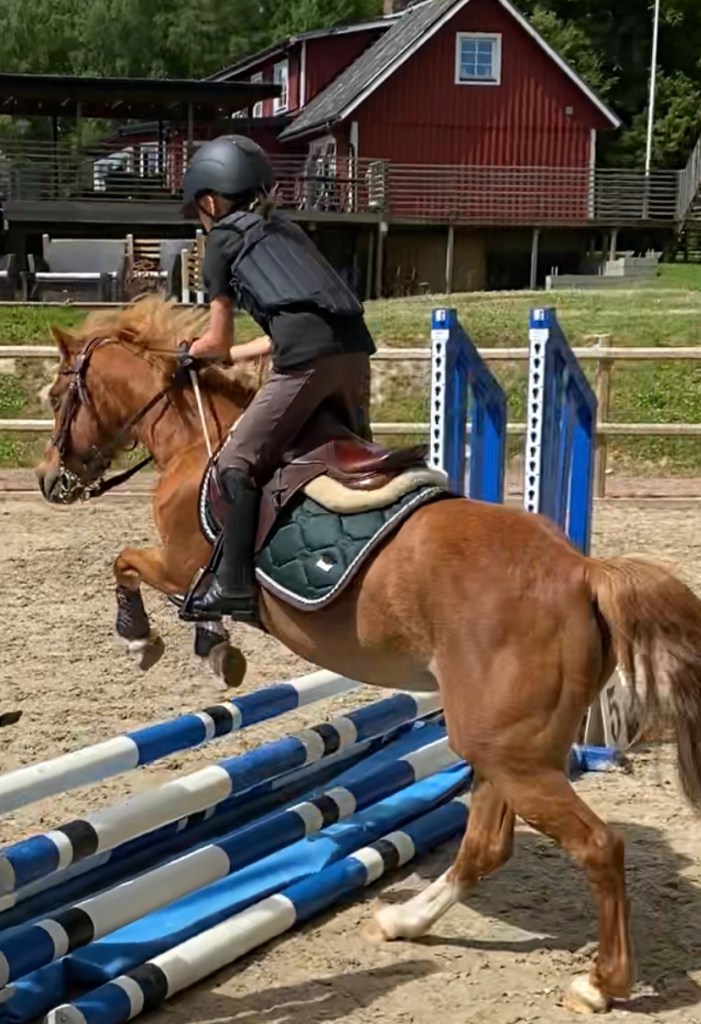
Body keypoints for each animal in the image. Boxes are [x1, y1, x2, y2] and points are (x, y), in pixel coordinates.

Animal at [35, 294, 701, 1014]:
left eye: (56, 396)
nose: (47, 480)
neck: (193, 437)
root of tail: (582, 572)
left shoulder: (182, 564)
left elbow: (127, 563)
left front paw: (162, 639)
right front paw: (209, 646)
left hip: (510, 754)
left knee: (598, 846)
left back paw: (600, 983)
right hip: (504, 748)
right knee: (486, 843)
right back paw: (406, 920)